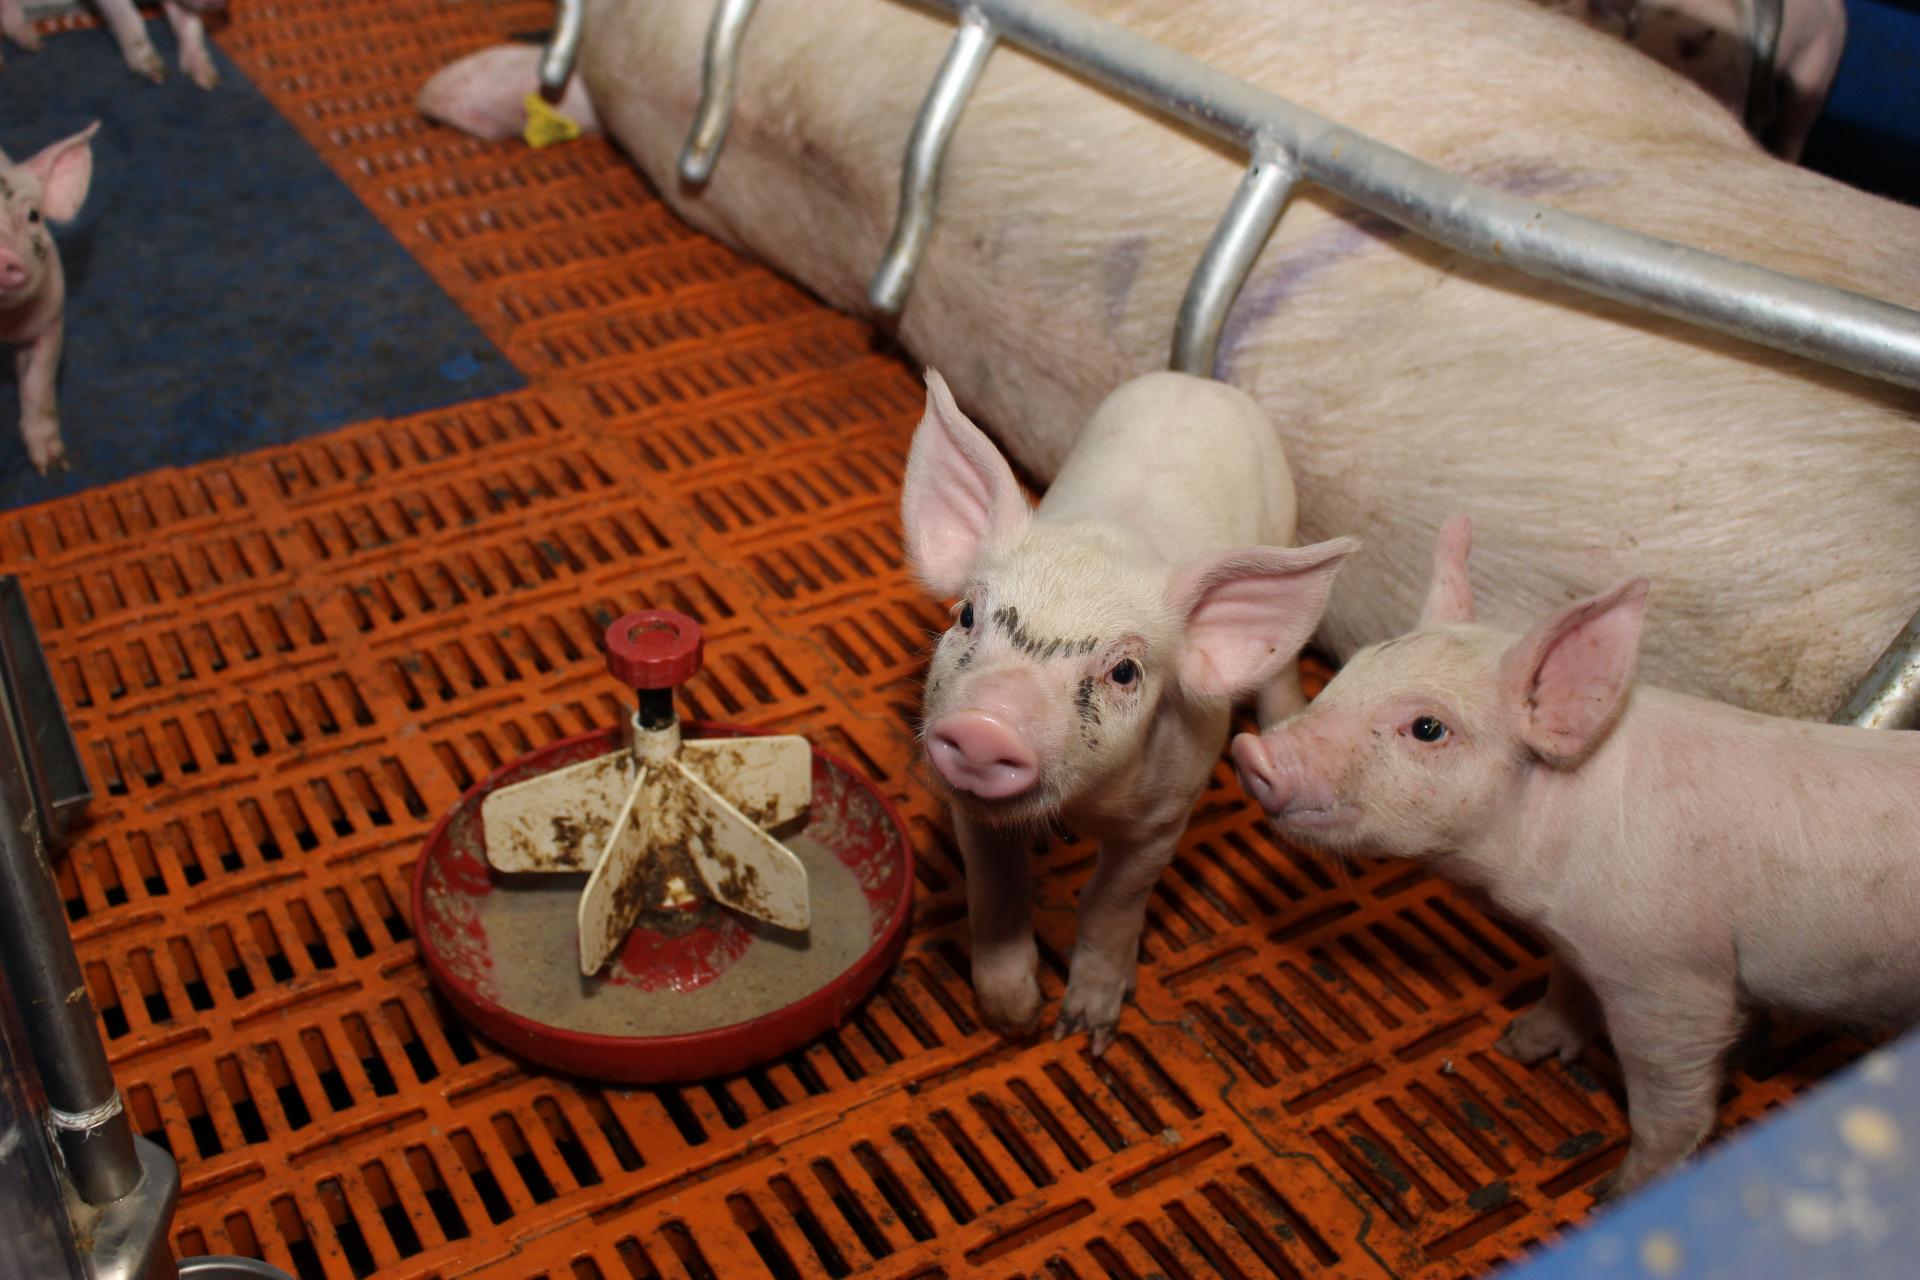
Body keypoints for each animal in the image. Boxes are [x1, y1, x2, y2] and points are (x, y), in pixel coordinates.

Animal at [1, 1, 229, 90]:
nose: (218, 4)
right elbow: (128, 17)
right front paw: (158, 74)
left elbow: (189, 23)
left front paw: (209, 80)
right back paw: (5, 64)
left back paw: (33, 43)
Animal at [907, 367, 1355, 1051]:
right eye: (966, 614)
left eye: (1124, 671)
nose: (987, 725)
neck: (1084, 807)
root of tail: (1199, 380)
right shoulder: (969, 812)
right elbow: (995, 890)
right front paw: (1016, 1019)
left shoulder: (1167, 813)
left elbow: (1109, 904)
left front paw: (1087, 1034)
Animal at [1231, 515, 1920, 1197]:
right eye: (1342, 676)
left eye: (1427, 728)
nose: (1251, 752)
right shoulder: (1574, 941)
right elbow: (1564, 989)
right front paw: (1517, 1045)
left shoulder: (1674, 978)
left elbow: (1670, 1102)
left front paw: (1616, 1193)